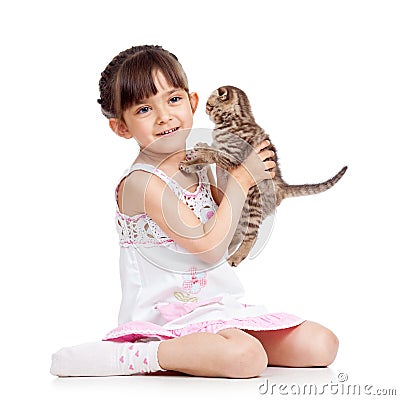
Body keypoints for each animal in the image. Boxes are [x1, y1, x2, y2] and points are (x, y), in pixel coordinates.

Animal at [180, 86, 346, 268]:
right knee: (237, 233)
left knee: (252, 235)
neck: (236, 120)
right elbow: (210, 152)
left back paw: (236, 257)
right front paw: (195, 158)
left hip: (254, 202)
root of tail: (282, 186)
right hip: (242, 212)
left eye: (209, 105)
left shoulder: (231, 157)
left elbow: (212, 154)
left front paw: (197, 155)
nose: (205, 109)